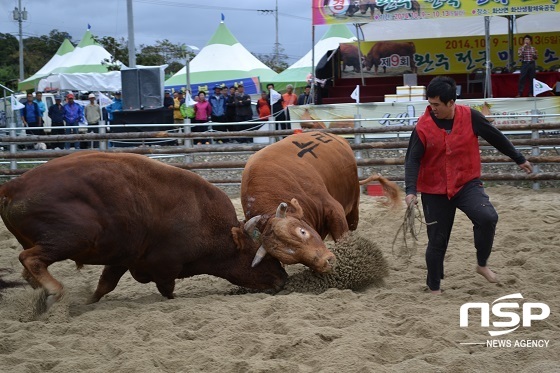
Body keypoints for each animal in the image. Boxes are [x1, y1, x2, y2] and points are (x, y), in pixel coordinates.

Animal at [0, 151, 286, 308]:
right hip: (72, 239)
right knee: (30, 259)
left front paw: (87, 303)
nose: (283, 278)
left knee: (29, 268)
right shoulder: (166, 267)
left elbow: (105, 285)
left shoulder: (123, 257)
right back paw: (54, 292)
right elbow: (167, 291)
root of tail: (12, 187)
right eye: (258, 256)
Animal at [238, 132, 400, 270]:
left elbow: (342, 237)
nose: (326, 262)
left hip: (353, 205)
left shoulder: (334, 209)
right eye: (291, 259)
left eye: (302, 231)